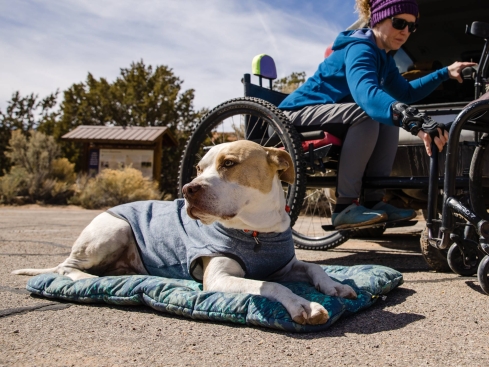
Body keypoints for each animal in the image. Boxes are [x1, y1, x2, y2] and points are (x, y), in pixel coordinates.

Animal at [12, 140, 354, 324]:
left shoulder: (284, 264)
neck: (256, 230)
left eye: (229, 164)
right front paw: (302, 304)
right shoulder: (218, 277)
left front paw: (335, 286)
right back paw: (85, 279)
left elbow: (313, 268)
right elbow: (270, 286)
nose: (189, 189)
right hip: (114, 229)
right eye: (199, 169)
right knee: (67, 268)